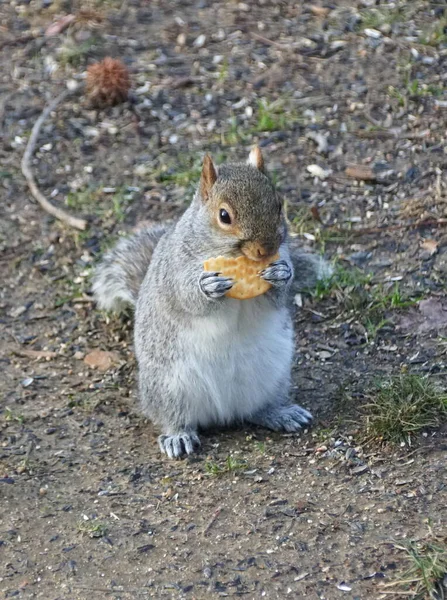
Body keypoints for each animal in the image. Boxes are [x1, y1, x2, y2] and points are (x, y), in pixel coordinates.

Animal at [93, 148, 332, 458]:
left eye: (279, 206)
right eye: (224, 216)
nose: (265, 249)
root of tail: (223, 413)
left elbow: (279, 295)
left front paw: (281, 274)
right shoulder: (175, 268)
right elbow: (186, 297)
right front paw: (208, 287)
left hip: (272, 377)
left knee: (256, 409)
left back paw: (280, 413)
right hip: (169, 387)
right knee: (173, 417)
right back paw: (178, 436)